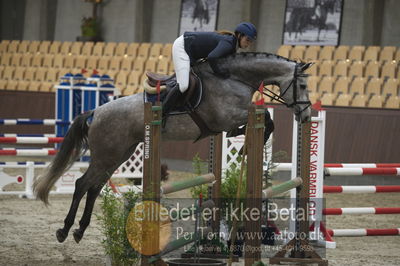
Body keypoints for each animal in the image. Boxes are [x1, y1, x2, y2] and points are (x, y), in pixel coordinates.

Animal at [32, 52, 312, 243]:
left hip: (118, 154)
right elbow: (266, 119)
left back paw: (79, 230)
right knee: (82, 184)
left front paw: (244, 144)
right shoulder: (226, 117)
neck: (235, 79)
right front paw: (244, 148)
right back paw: (65, 230)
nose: (307, 115)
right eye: (302, 86)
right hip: (107, 154)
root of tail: (95, 111)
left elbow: (265, 121)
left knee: (94, 187)